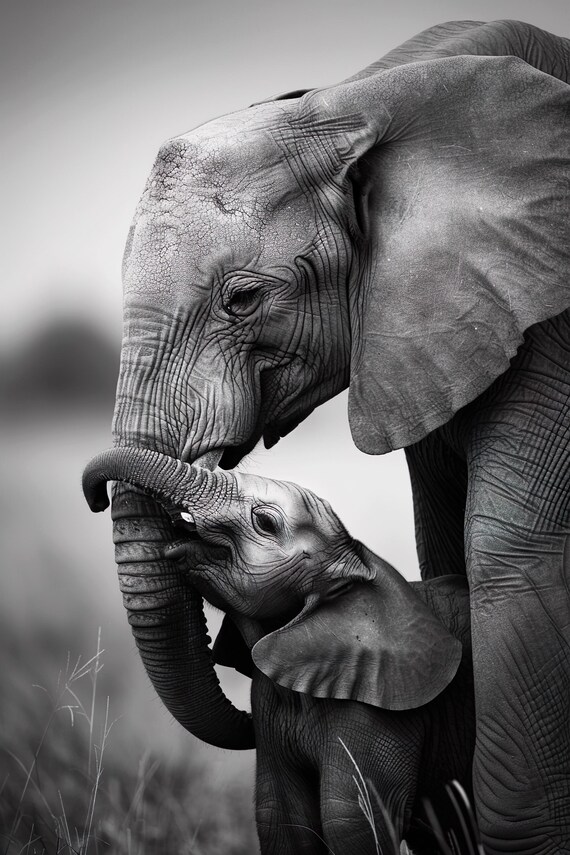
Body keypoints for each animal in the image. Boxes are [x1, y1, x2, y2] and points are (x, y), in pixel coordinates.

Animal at [83, 446, 477, 854]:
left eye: (265, 523)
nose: (97, 501)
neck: (358, 568)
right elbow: (282, 818)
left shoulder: (380, 712)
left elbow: (350, 820)